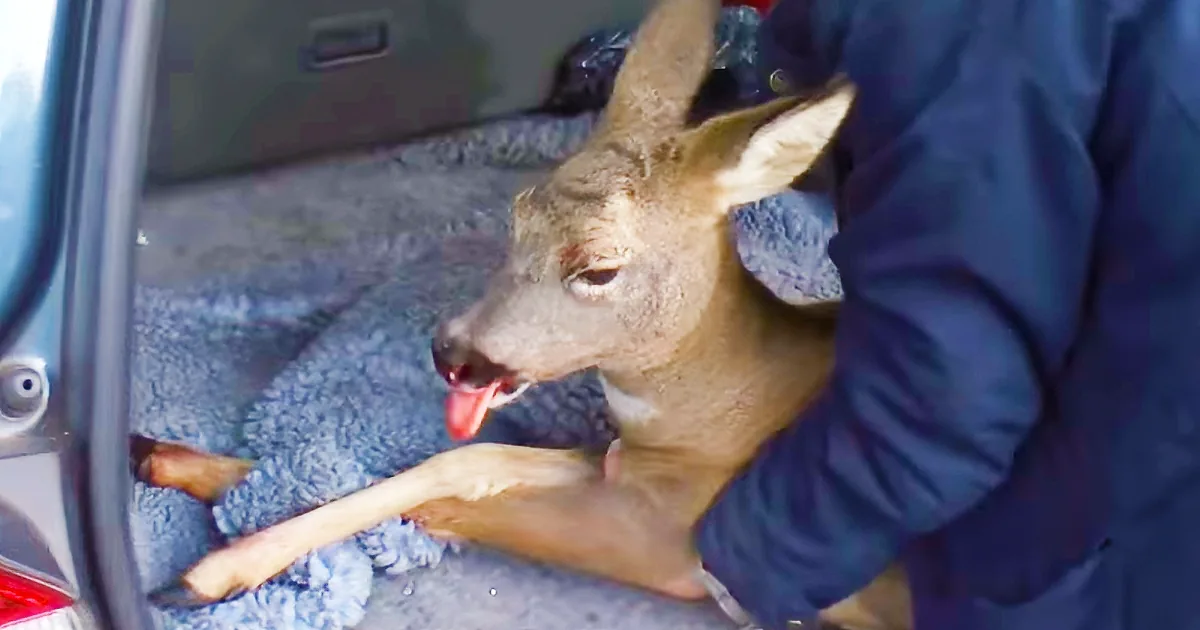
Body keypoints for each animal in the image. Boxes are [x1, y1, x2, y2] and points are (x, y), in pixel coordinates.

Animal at [130, 0, 914, 627]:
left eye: (599, 268)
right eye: (519, 213)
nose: (453, 351)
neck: (722, 417)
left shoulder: (680, 535)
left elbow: (463, 502)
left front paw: (209, 574)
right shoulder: (625, 471)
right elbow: (465, 461)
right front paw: (162, 459)